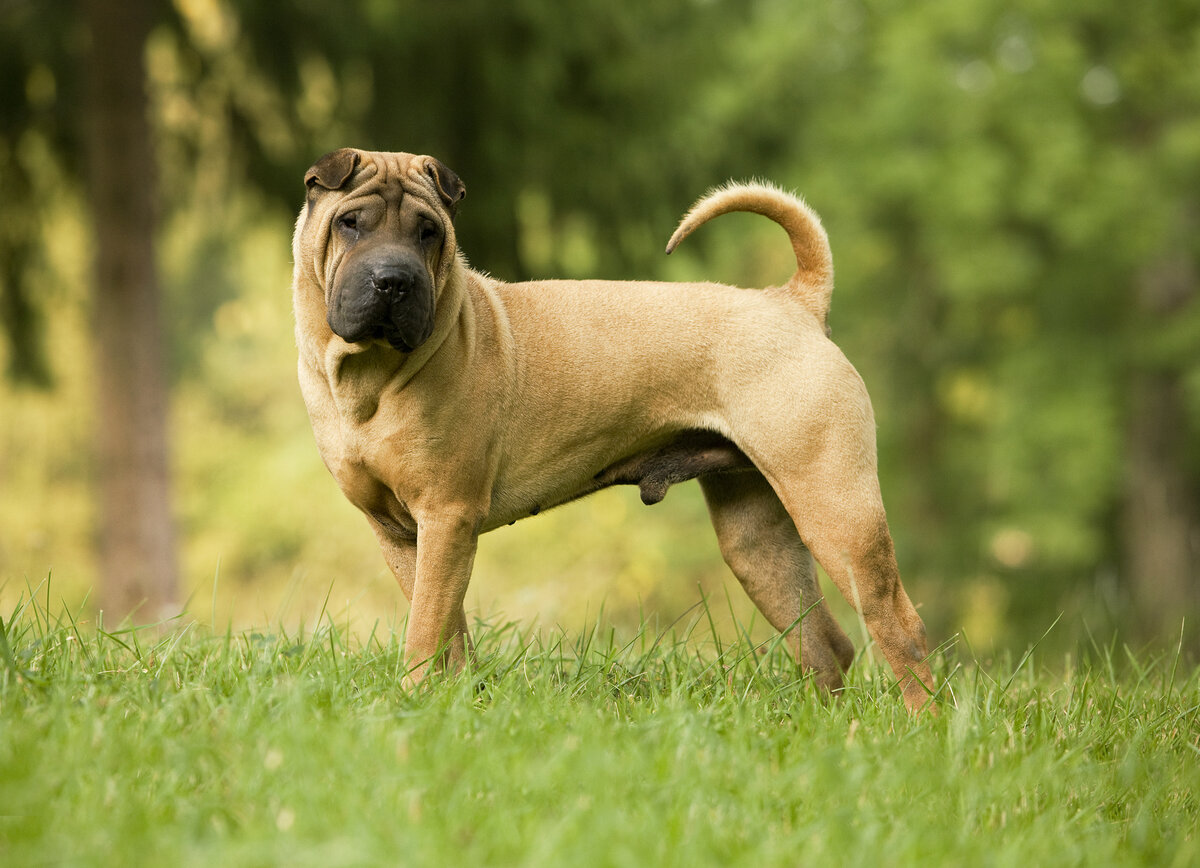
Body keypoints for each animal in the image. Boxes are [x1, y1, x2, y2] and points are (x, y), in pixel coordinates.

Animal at [292, 147, 936, 710]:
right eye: (350, 223)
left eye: (428, 231)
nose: (393, 280)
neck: (372, 377)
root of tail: (794, 303)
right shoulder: (403, 534)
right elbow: (446, 632)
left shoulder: (447, 519)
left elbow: (426, 632)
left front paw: (416, 700)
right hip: (760, 538)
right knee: (828, 643)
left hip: (837, 513)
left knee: (902, 628)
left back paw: (919, 727)